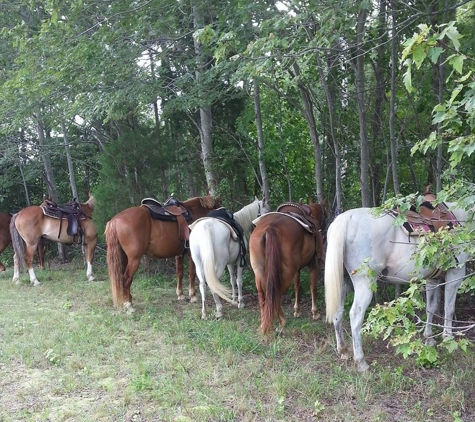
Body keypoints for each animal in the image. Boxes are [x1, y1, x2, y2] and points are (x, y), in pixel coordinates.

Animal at [249, 199, 328, 334]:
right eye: (326, 214)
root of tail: (270, 227)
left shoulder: (297, 269)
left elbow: (297, 287)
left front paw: (297, 310)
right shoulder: (313, 264)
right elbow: (313, 287)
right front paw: (315, 312)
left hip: (259, 272)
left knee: (263, 294)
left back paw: (264, 323)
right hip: (287, 272)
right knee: (276, 293)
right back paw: (281, 321)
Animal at [326, 204, 470, 372]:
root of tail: (346, 218)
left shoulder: (432, 279)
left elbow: (431, 307)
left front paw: (429, 338)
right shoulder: (456, 274)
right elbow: (449, 308)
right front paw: (447, 338)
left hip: (343, 282)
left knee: (338, 312)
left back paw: (343, 350)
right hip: (365, 283)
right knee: (355, 316)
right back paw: (361, 362)